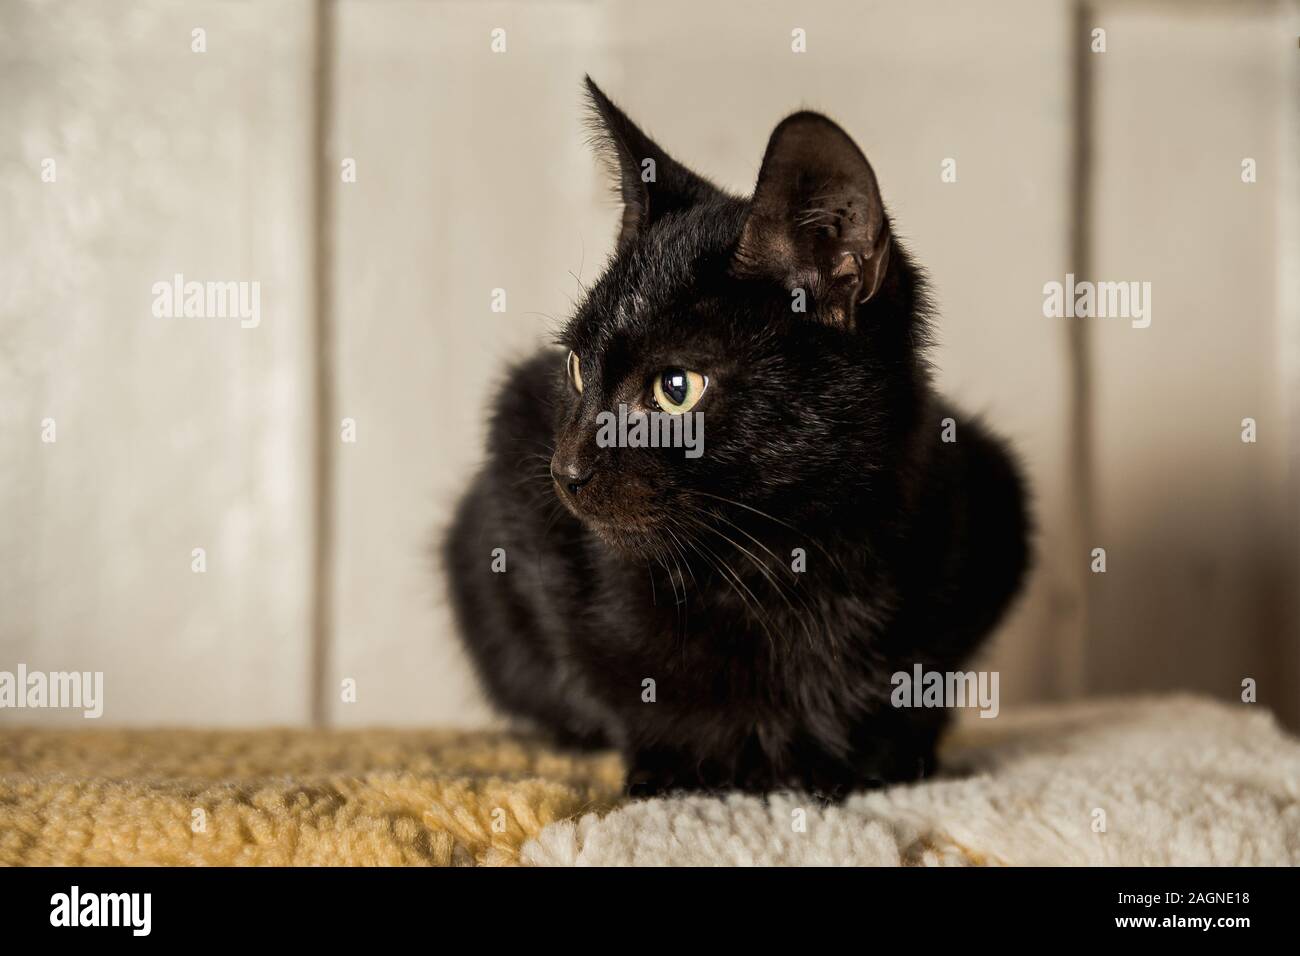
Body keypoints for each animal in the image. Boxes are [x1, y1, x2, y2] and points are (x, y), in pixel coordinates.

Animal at [441, 80, 1029, 801]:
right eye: (576, 368)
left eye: (675, 388)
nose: (565, 469)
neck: (779, 564)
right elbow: (624, 678)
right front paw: (682, 769)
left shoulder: (989, 501)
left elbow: (904, 696)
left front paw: (859, 764)